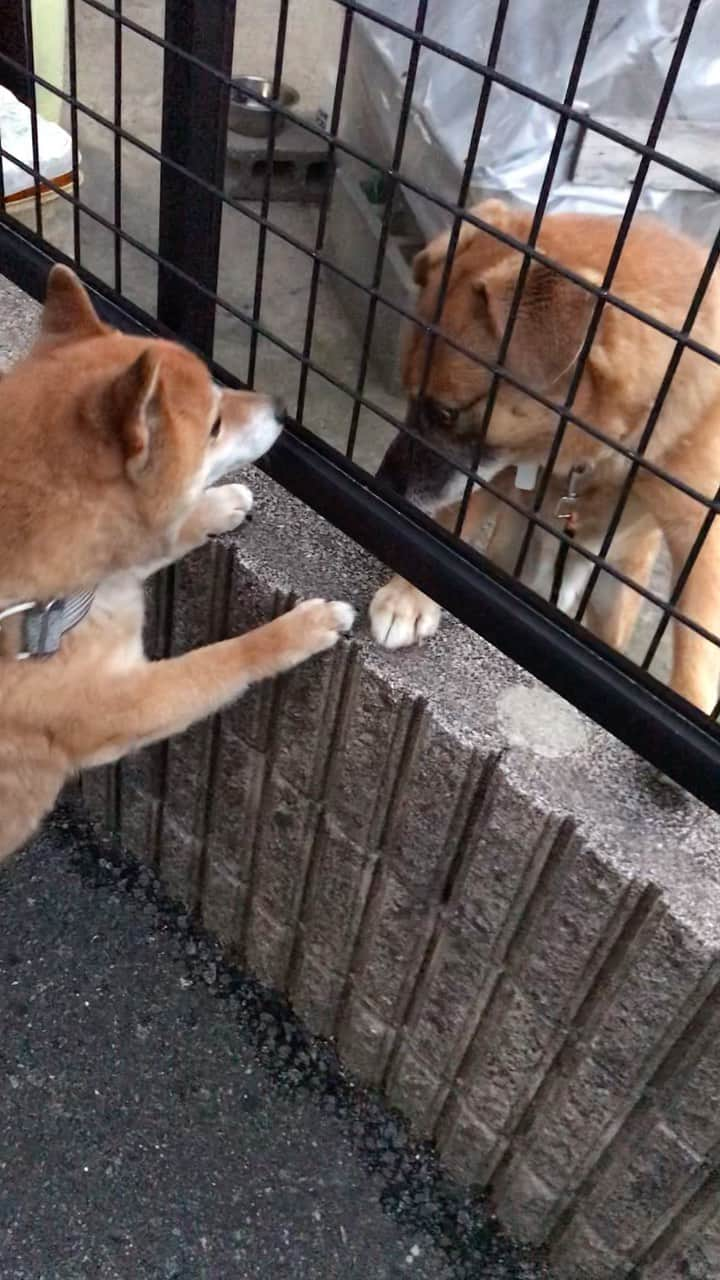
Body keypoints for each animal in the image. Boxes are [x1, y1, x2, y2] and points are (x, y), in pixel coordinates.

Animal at [0, 270, 353, 865]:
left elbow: (170, 534)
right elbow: (224, 660)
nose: (282, 406)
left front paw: (218, 505)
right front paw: (303, 628)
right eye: (214, 424)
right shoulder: (129, 704)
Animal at [368, 204, 720, 716]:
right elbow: (454, 523)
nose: (384, 483)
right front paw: (408, 594)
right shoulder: (505, 468)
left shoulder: (701, 535)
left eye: (445, 413)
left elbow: (697, 649)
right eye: (410, 396)